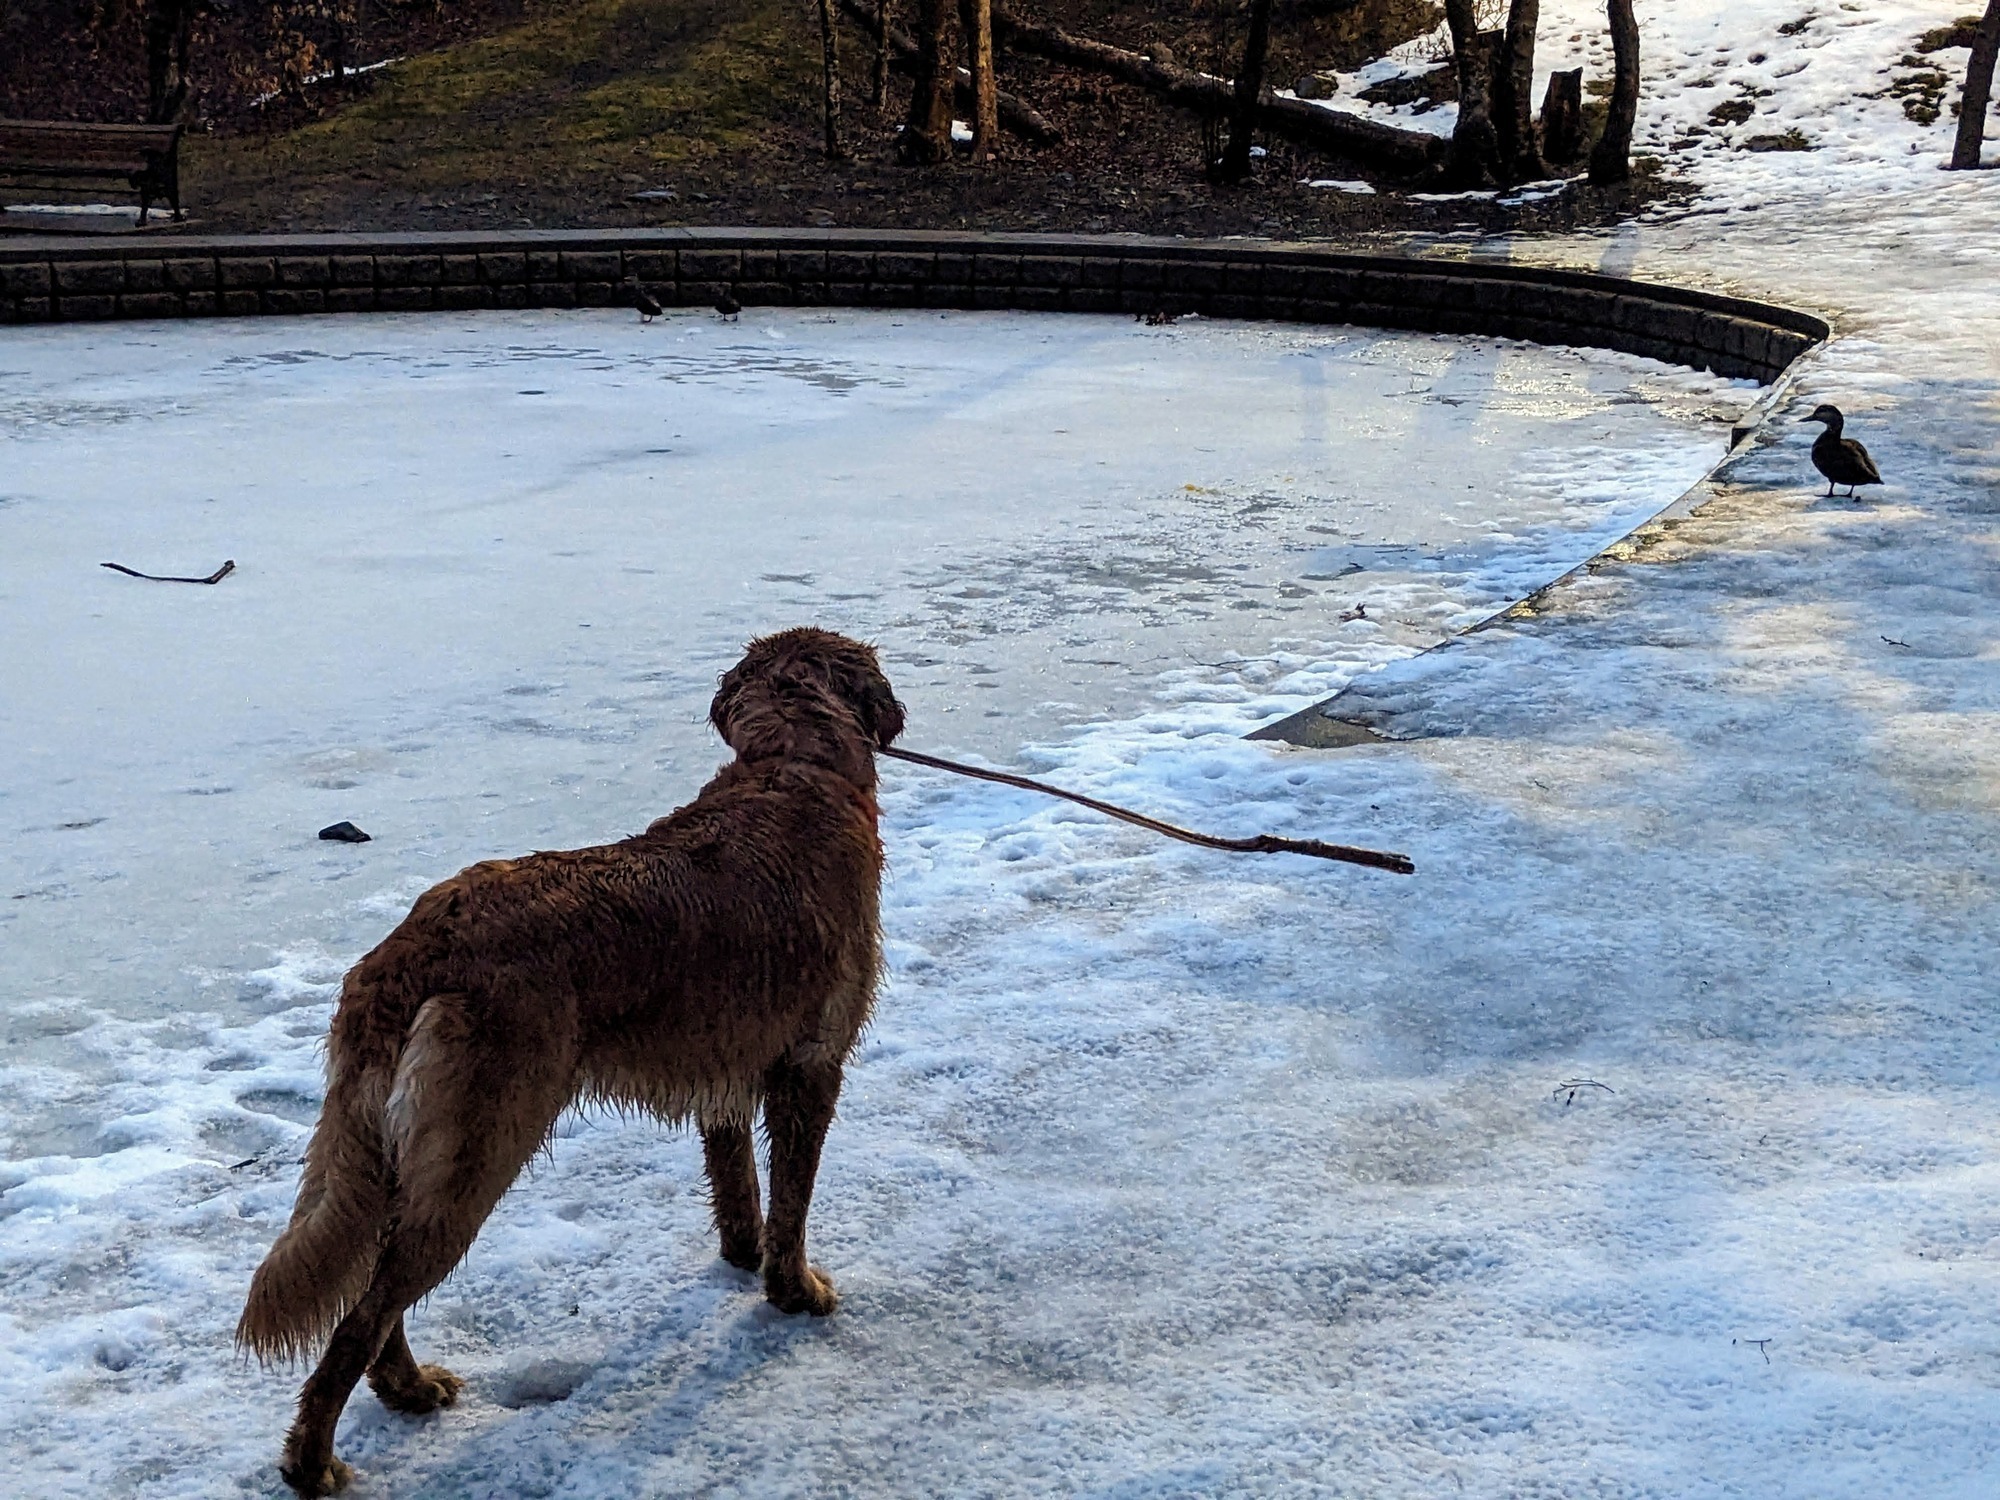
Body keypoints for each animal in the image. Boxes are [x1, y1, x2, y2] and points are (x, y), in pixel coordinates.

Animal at [236, 628, 916, 1496]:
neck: (794, 764)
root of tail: (411, 951)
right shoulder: (810, 1066)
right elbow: (793, 1202)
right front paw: (795, 1291)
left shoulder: (723, 1076)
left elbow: (741, 1193)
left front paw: (743, 1259)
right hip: (476, 1153)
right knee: (361, 1317)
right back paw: (313, 1462)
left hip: (400, 1155)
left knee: (373, 1291)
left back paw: (407, 1389)